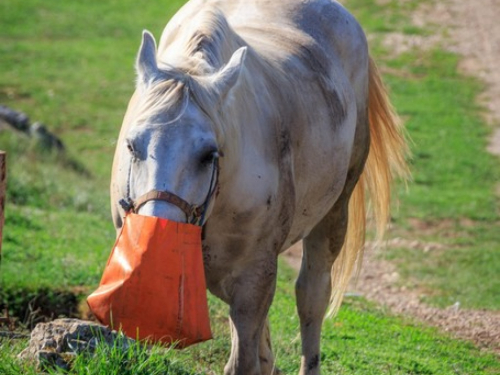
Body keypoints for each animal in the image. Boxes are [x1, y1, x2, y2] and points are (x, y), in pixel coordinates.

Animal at [109, 1, 406, 374]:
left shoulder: (252, 278)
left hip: (333, 214)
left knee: (311, 297)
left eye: (209, 154)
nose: (156, 237)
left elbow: (243, 360)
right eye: (132, 145)